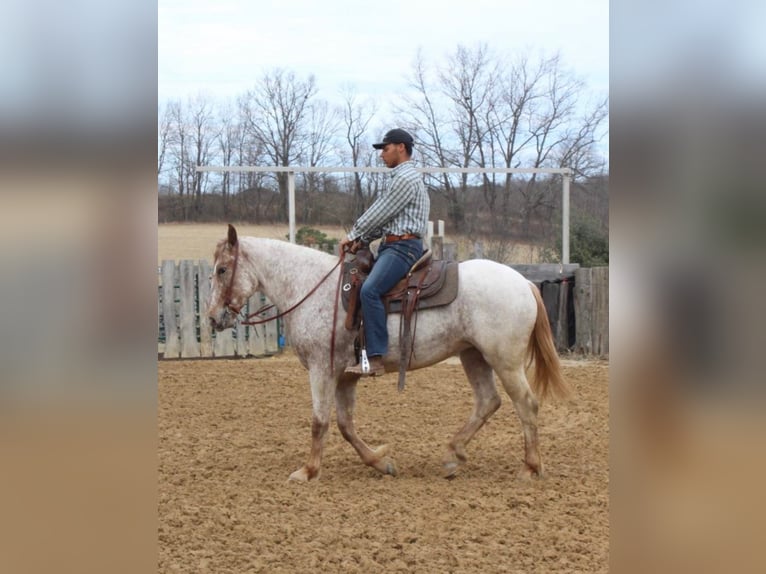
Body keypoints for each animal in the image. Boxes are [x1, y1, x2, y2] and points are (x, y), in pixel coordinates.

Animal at [208, 227, 568, 484]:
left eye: (223, 269)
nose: (213, 318)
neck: (310, 288)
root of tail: (523, 283)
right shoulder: (345, 376)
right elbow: (345, 425)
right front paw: (381, 462)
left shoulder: (321, 369)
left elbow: (319, 422)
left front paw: (307, 472)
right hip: (473, 355)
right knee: (487, 401)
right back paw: (453, 455)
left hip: (504, 360)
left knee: (526, 404)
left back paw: (530, 467)